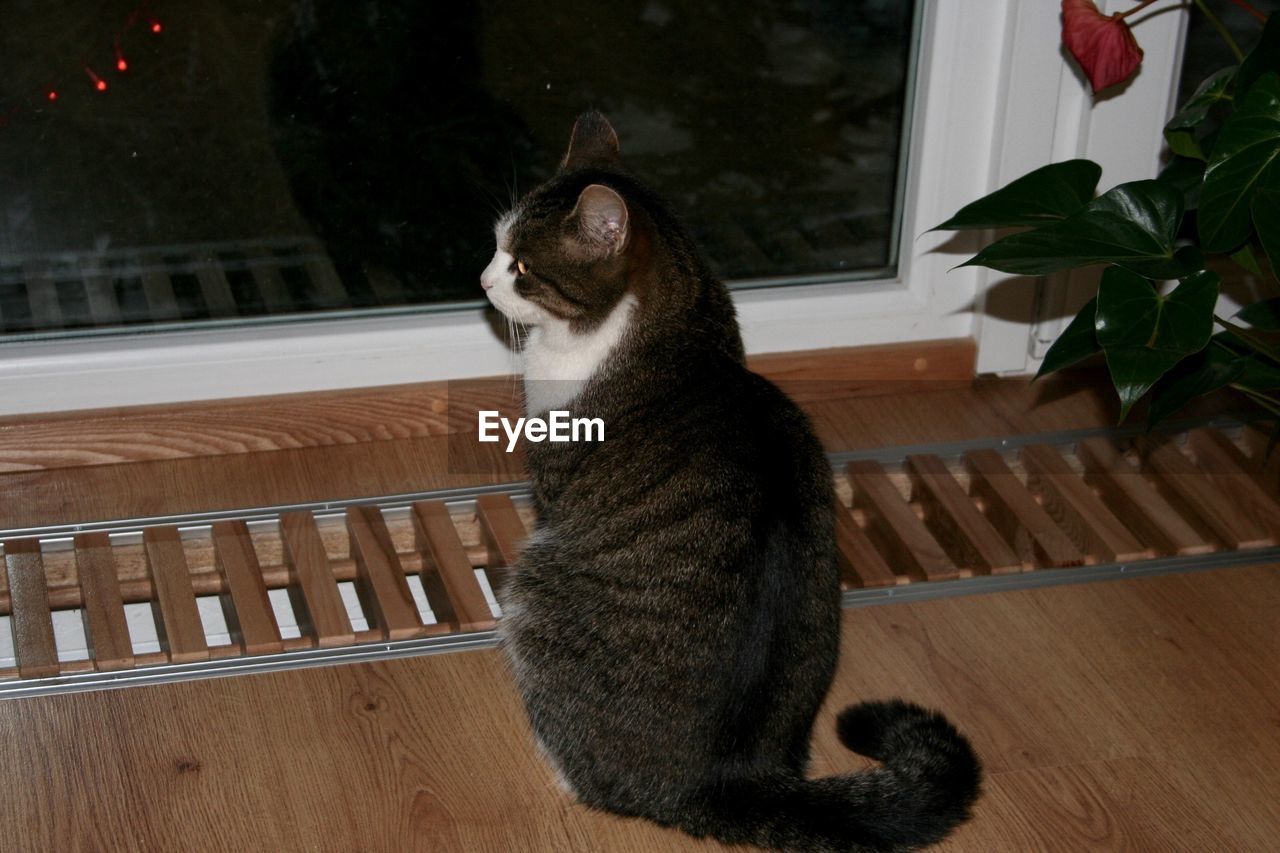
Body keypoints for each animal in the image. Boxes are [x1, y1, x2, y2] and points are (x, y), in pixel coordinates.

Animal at [481, 112, 977, 850]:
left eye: (520, 266)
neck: (667, 330)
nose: (482, 279)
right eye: (495, 245)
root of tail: (727, 780)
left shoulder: (552, 486)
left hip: (535, 594)